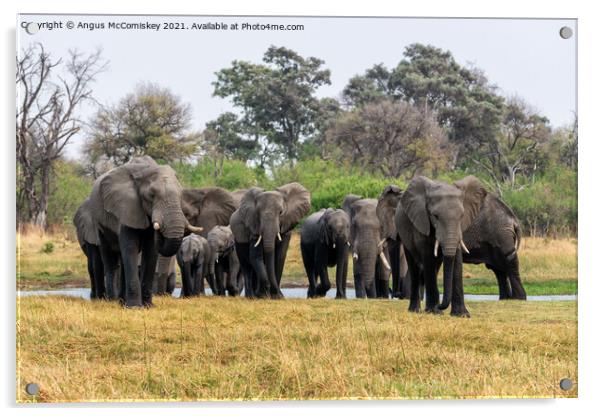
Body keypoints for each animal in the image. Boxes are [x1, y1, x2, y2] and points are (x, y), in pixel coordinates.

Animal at [88, 154, 203, 308]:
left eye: (180, 195)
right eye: (151, 195)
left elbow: (151, 251)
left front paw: (148, 306)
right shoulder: (127, 207)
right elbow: (130, 246)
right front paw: (135, 307)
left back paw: (122, 302)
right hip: (99, 221)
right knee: (110, 257)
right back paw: (115, 302)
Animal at [394, 175, 482, 316]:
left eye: (462, 216)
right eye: (435, 216)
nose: (441, 305)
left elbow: (456, 258)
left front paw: (462, 315)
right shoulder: (421, 220)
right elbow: (428, 256)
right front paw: (434, 312)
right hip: (404, 234)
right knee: (414, 268)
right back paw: (416, 310)